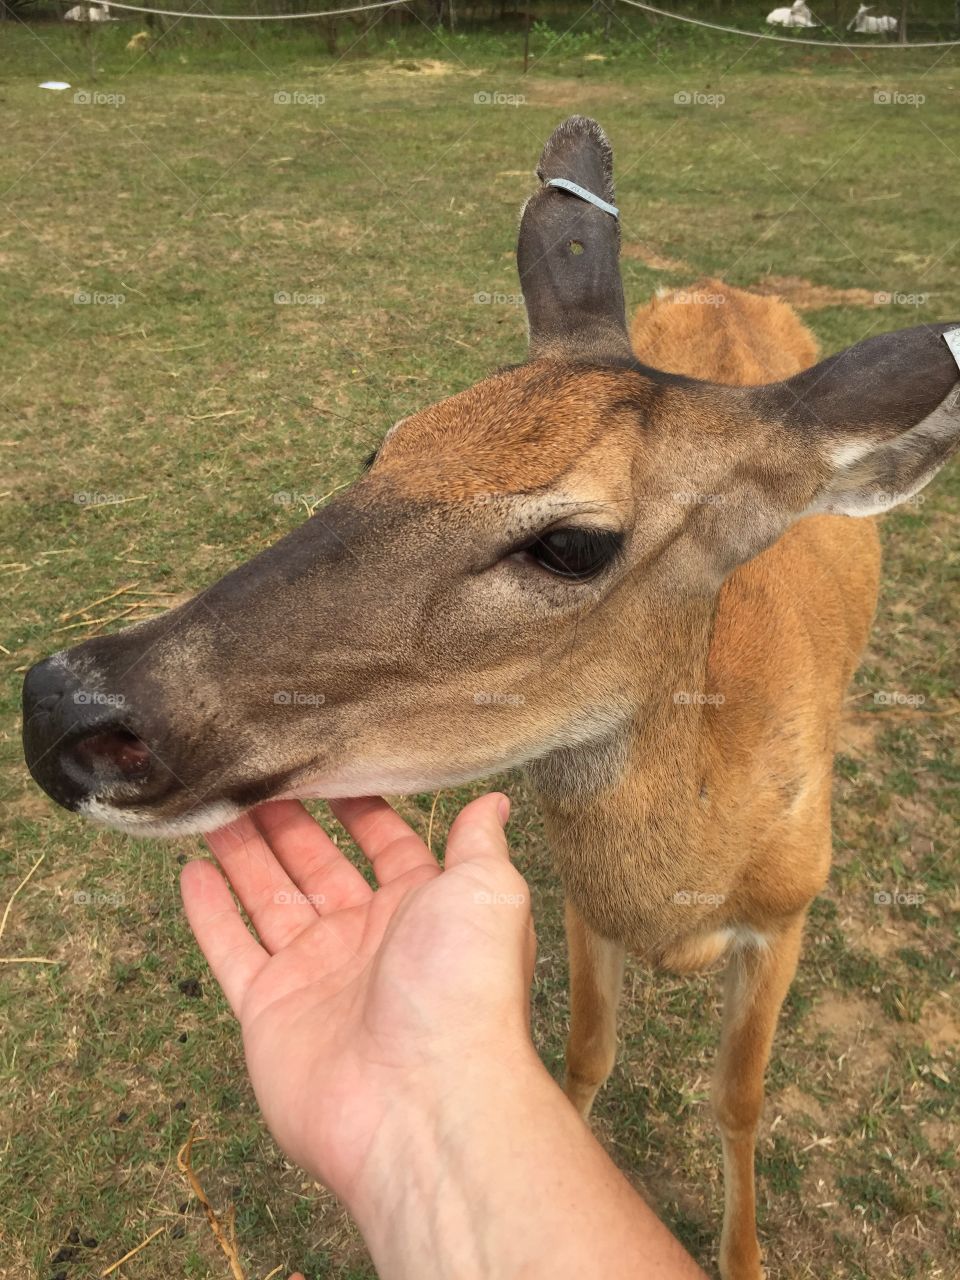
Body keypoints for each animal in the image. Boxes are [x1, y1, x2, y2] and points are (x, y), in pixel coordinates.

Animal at [21, 117, 960, 1279]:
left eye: (573, 543)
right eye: (385, 443)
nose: (66, 708)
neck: (686, 889)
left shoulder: (787, 912)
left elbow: (739, 1099)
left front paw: (743, 1254)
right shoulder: (583, 900)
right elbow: (585, 1052)